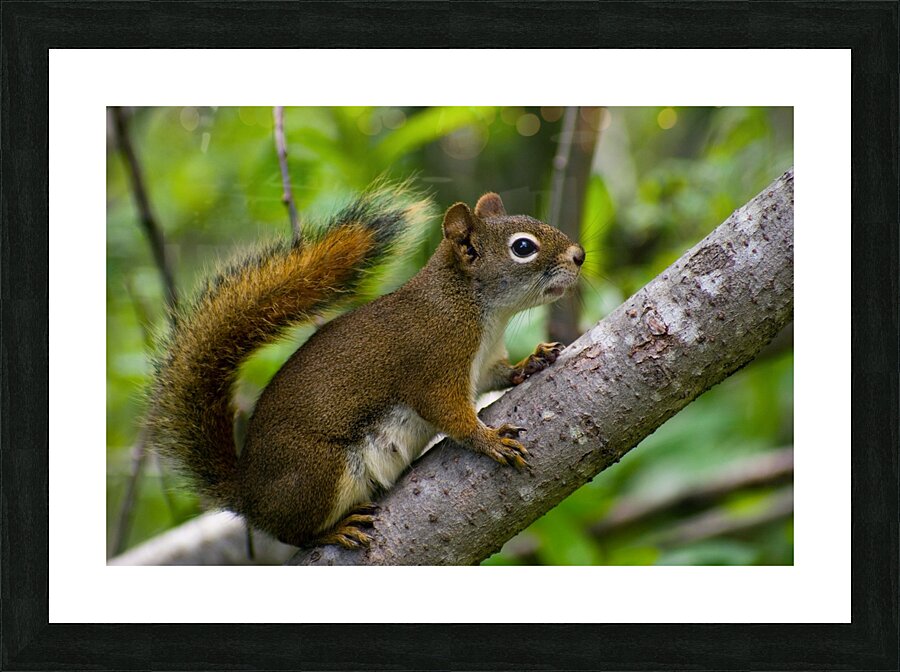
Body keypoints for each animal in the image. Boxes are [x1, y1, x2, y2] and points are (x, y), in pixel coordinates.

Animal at [148, 183, 585, 549]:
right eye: (523, 247)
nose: (579, 255)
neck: (479, 310)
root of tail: (248, 494)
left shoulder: (485, 362)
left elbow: (500, 375)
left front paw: (533, 361)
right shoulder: (436, 362)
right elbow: (449, 414)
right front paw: (490, 439)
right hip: (318, 472)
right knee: (295, 534)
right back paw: (336, 530)